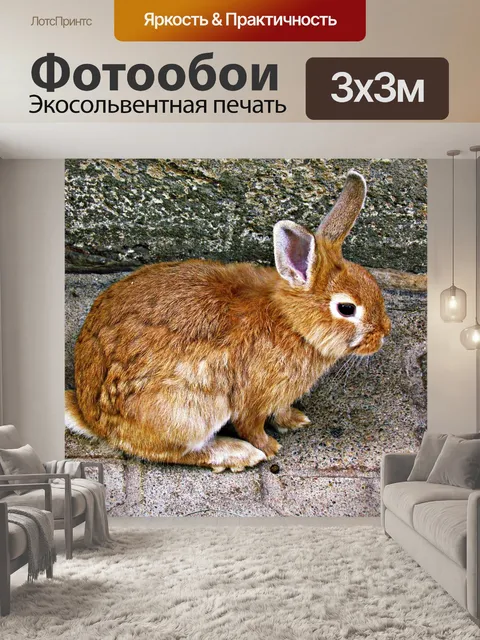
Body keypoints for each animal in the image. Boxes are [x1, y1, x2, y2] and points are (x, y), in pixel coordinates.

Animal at [65, 170, 391, 472]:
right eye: (346, 308)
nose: (383, 333)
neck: (293, 324)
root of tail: (91, 417)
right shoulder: (253, 398)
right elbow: (251, 425)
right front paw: (270, 448)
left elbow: (281, 410)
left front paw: (295, 420)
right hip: (192, 410)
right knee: (174, 452)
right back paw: (239, 454)